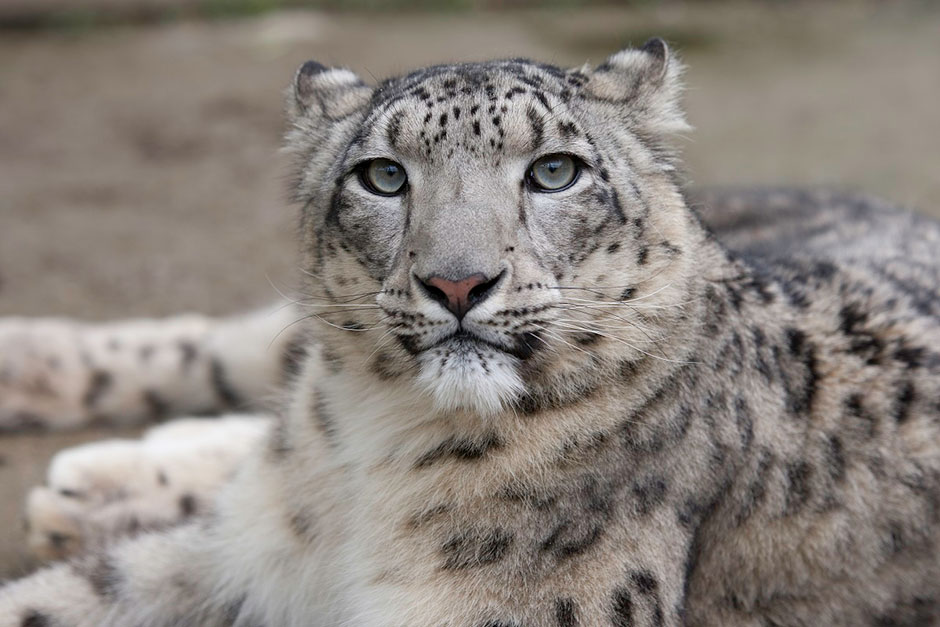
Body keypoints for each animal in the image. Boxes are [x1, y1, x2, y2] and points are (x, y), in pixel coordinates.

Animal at [1, 40, 940, 627]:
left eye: (555, 170)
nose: (458, 281)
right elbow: (65, 597)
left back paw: (86, 489)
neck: (376, 447)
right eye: (383, 176)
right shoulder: (233, 569)